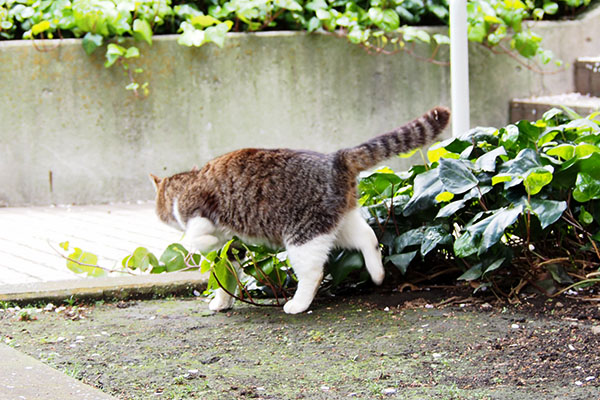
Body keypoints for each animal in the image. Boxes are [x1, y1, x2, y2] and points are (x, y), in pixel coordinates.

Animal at [150, 106, 450, 312]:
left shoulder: (199, 213)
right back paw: (377, 274)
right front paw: (222, 301)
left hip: (303, 235)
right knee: (369, 238)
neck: (186, 183)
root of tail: (335, 158)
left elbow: (194, 237)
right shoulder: (232, 248)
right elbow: (227, 275)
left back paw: (298, 304)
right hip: (338, 223)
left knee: (314, 273)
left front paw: (202, 243)